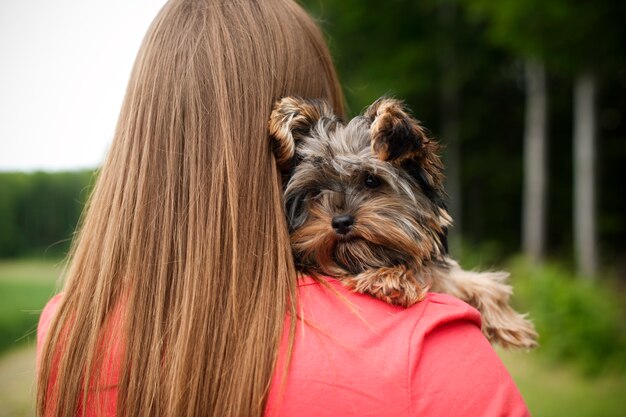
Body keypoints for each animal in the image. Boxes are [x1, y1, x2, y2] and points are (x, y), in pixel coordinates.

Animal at [268, 95, 536, 348]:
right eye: (316, 192)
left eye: (371, 180)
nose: (341, 222)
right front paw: (390, 279)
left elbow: (478, 284)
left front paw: (509, 322)